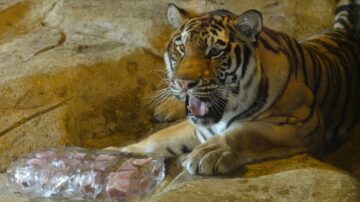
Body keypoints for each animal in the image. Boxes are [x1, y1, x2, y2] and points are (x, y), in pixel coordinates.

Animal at [107, 0, 360, 175]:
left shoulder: (304, 123)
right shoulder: (198, 125)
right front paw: (119, 152)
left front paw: (210, 153)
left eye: (215, 52)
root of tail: (341, 32)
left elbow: (248, 132)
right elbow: (161, 137)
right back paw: (165, 108)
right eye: (182, 47)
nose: (184, 83)